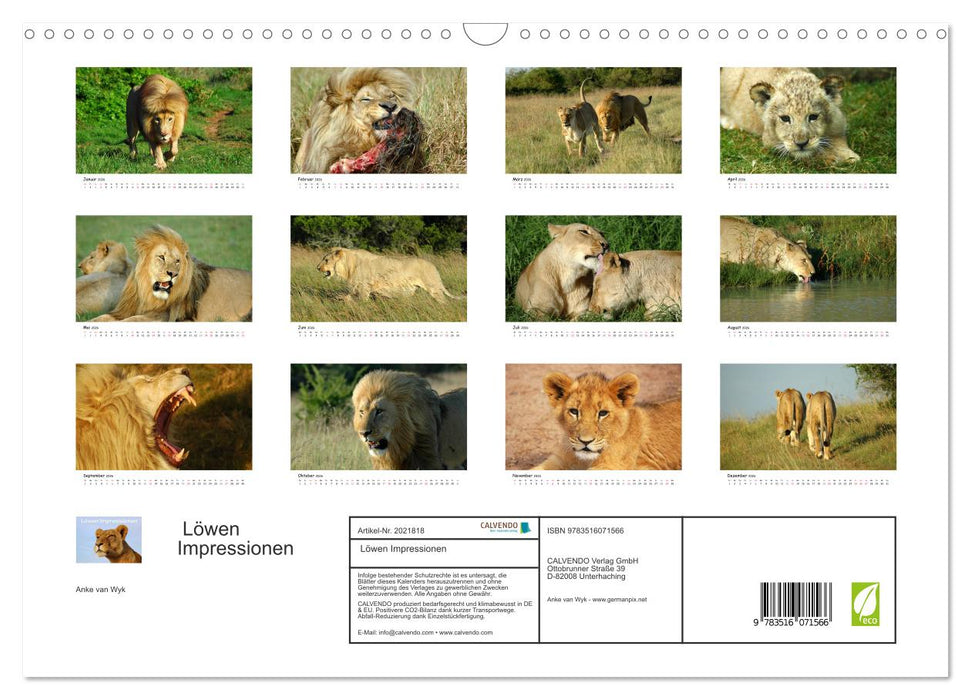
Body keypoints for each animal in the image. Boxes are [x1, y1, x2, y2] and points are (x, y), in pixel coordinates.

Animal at [92, 225, 252, 322]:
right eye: (161, 257)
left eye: (177, 261)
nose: (173, 274)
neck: (148, 294)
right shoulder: (125, 310)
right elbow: (104, 317)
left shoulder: (164, 316)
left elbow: (133, 319)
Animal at [316, 247, 459, 302]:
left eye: (326, 260)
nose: (317, 268)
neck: (348, 268)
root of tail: (434, 268)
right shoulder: (355, 288)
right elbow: (346, 297)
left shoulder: (364, 288)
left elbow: (362, 302)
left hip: (434, 288)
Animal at [720, 67, 860, 164]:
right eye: (785, 118)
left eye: (813, 117)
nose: (801, 144)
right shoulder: (771, 142)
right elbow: (811, 153)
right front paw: (832, 158)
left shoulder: (839, 124)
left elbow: (840, 141)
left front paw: (850, 156)